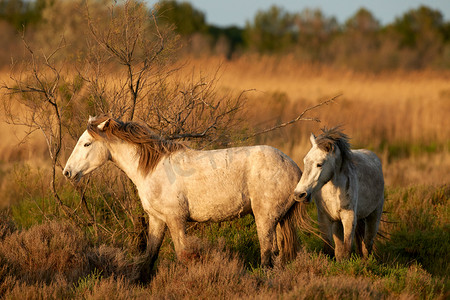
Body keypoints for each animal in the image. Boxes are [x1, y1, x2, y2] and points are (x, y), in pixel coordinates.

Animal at [61, 114, 304, 270]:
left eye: (87, 144)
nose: (67, 172)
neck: (153, 169)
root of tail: (295, 169)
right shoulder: (157, 220)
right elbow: (149, 258)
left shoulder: (175, 219)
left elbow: (183, 255)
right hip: (278, 220)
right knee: (279, 256)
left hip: (265, 218)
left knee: (267, 256)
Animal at [294, 127, 384, 262]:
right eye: (305, 161)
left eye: (319, 164)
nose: (299, 194)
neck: (333, 191)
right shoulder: (324, 217)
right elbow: (332, 249)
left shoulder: (349, 217)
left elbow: (346, 249)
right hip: (339, 222)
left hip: (374, 215)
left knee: (367, 244)